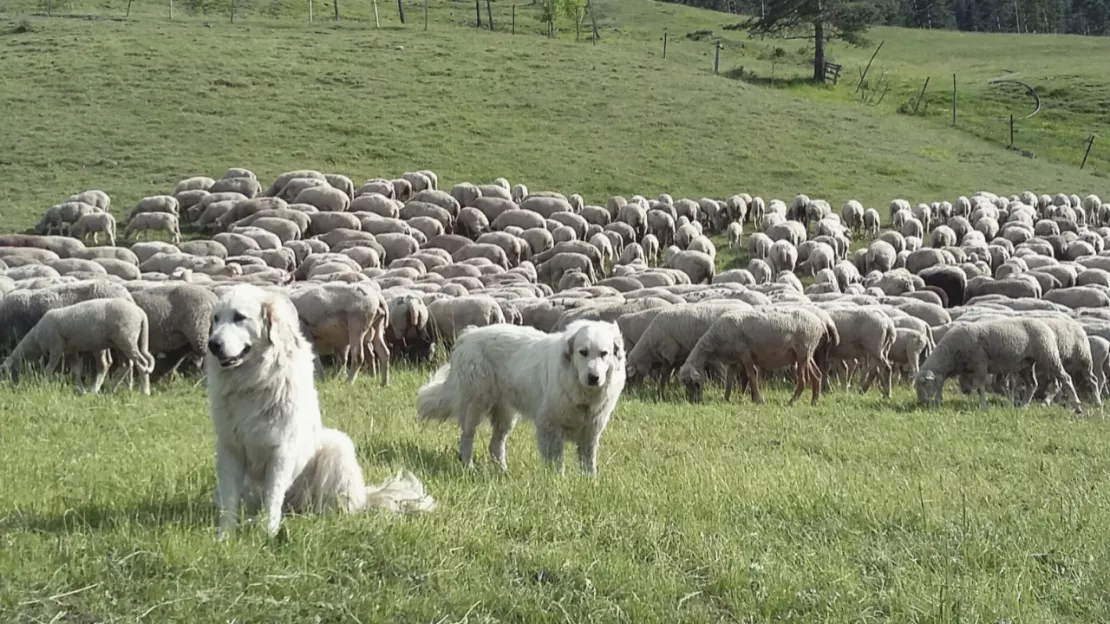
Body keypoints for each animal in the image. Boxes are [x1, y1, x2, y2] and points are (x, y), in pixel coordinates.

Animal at [1, 297, 156, 393]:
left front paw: (43, 384)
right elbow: (76, 370)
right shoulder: (71, 350)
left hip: (126, 338)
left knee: (141, 363)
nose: (6, 385)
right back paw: (107, 389)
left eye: (3, 372)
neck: (35, 340)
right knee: (124, 365)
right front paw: (81, 390)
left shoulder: (56, 347)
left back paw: (145, 391)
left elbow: (49, 369)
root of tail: (141, 313)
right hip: (119, 342)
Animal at [206, 283, 435, 539]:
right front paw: (224, 538)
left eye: (239, 317)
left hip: (336, 444)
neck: (252, 382)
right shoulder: (230, 449)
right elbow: (229, 502)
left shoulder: (281, 450)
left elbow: (273, 496)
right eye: (216, 318)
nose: (212, 344)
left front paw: (267, 533)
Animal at [415, 317, 626, 472]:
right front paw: (558, 482)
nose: (594, 377)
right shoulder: (549, 427)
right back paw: (469, 467)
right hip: (475, 404)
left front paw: (590, 482)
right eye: (583, 352)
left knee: (495, 444)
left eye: (604, 353)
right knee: (467, 437)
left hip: (506, 415)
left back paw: (503, 472)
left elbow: (589, 463)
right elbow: (556, 463)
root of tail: (468, 335)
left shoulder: (590, 431)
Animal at [914, 317, 1078, 410]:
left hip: (1048, 354)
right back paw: (1023, 406)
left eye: (924, 384)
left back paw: (1077, 406)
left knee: (1066, 378)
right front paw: (938, 401)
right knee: (1032, 384)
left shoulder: (980, 363)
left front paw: (983, 406)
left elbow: (979, 387)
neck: (951, 353)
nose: (922, 403)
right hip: (1026, 363)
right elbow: (942, 383)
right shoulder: (959, 370)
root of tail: (1045, 325)